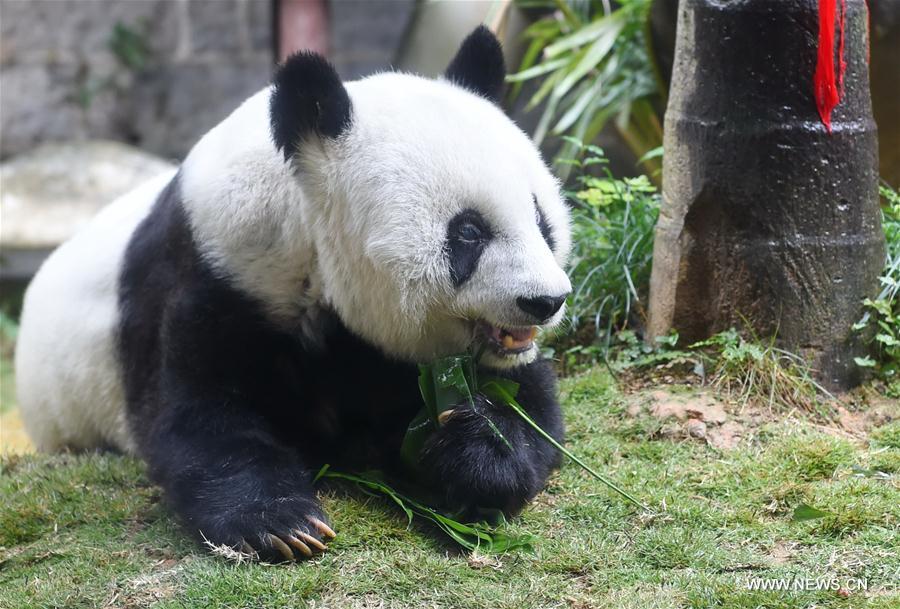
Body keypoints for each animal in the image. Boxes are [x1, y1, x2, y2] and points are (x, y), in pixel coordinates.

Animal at [15, 27, 568, 560]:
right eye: (469, 232)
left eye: (541, 219)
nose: (546, 301)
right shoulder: (219, 276)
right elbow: (199, 416)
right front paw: (280, 523)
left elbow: (532, 406)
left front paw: (473, 447)